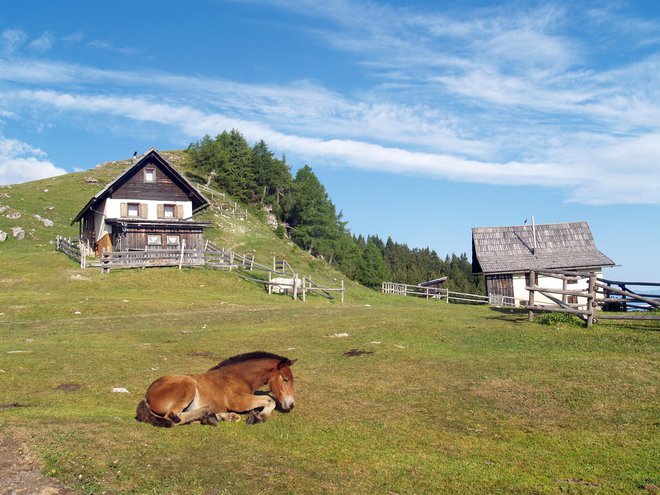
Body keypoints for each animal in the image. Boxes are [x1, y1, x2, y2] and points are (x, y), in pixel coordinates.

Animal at [137, 350, 296, 428]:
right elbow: (270, 399)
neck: (238, 376)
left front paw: (254, 414)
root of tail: (147, 395)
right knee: (173, 417)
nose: (291, 405)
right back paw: (210, 415)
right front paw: (259, 417)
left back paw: (219, 417)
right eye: (285, 379)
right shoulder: (237, 401)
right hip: (188, 384)